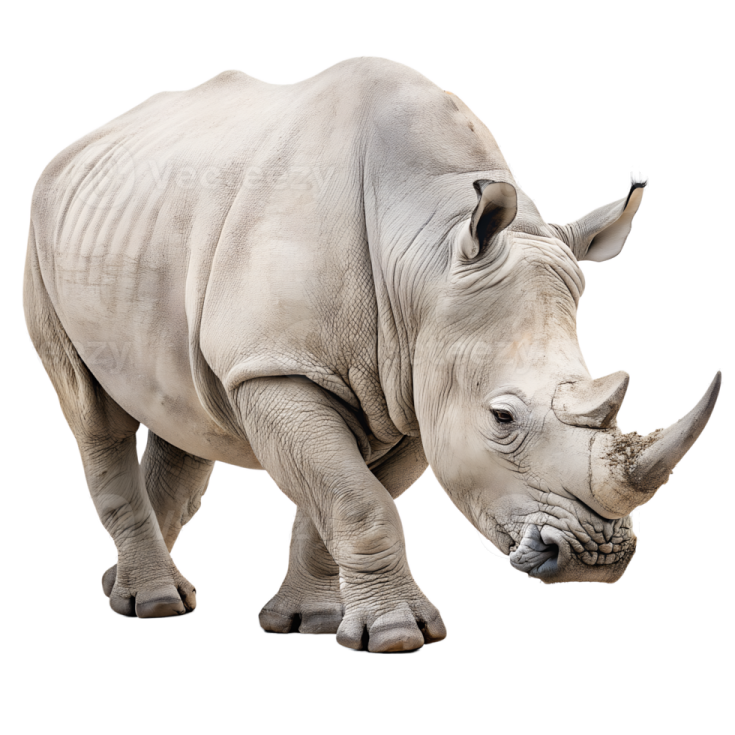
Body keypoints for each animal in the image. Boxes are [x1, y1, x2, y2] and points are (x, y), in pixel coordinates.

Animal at [22, 56, 721, 653]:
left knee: (184, 409)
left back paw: (126, 590)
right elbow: (359, 501)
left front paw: (306, 621)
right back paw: (156, 604)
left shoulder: (416, 382)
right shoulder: (279, 365)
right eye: (502, 418)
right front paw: (398, 636)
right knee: (92, 413)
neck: (426, 255)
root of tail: (78, 147)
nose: (594, 558)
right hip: (41, 233)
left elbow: (340, 497)